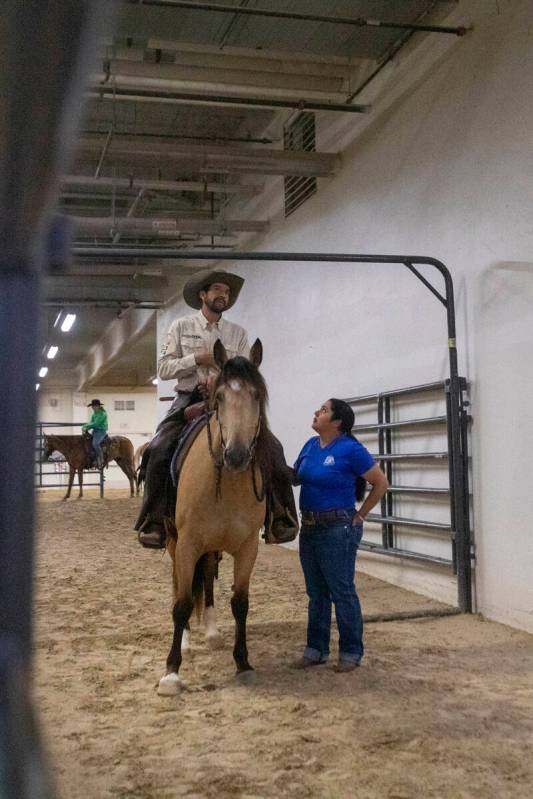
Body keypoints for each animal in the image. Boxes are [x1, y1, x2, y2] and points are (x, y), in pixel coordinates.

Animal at [156, 340, 268, 696]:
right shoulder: (188, 543)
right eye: (219, 397)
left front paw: (243, 663)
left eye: (257, 395)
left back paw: (212, 632)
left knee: (204, 577)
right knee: (179, 585)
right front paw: (172, 673)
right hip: (176, 542)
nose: (236, 455)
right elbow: (180, 603)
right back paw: (188, 640)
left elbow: (240, 602)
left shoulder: (247, 547)